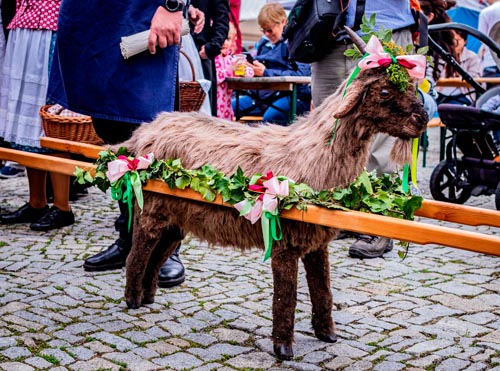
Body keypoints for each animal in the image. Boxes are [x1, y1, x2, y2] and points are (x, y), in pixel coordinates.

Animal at [117, 43, 426, 360]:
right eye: (385, 91)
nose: (422, 120)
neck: (314, 152)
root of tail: (143, 132)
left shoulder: (316, 242)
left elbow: (323, 289)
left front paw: (327, 334)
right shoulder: (285, 243)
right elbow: (286, 296)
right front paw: (283, 348)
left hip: (176, 219)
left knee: (157, 255)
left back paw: (148, 295)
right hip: (151, 209)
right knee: (138, 253)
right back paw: (132, 299)